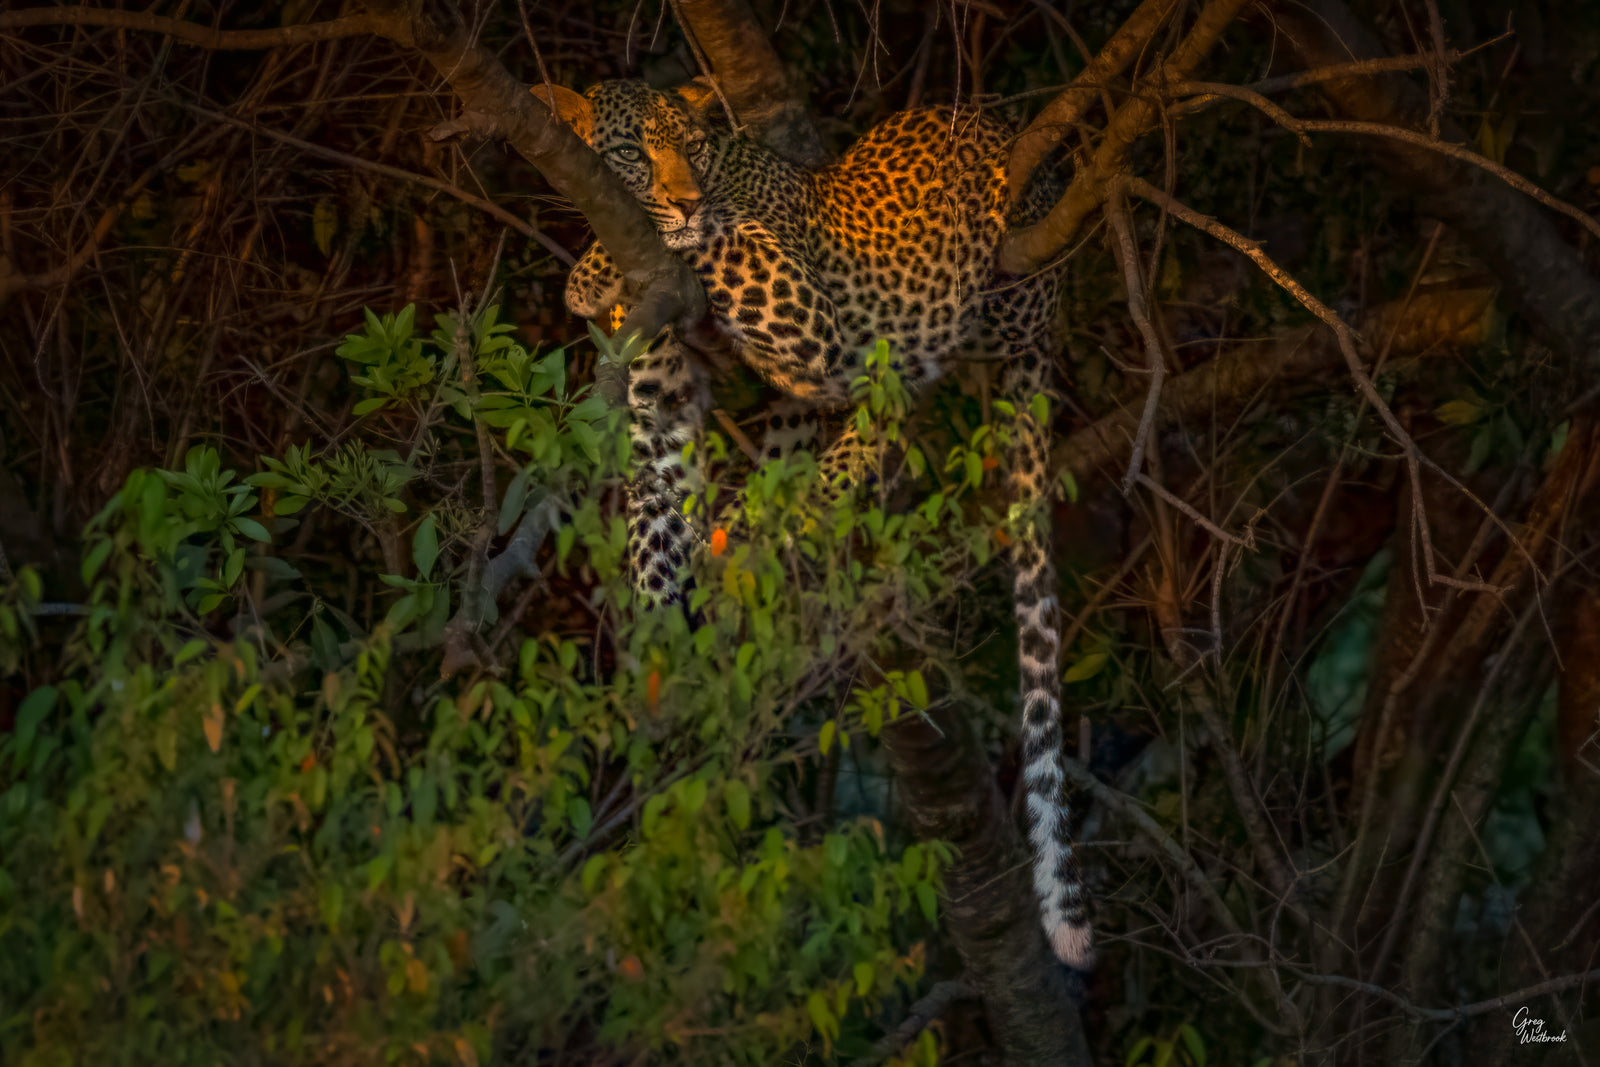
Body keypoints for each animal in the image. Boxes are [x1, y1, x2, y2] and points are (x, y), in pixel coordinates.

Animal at [536, 78, 1093, 969]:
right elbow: (653, 523)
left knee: (896, 390)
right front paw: (660, 661)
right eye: (628, 151)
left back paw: (787, 510)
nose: (683, 197)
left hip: (976, 304)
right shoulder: (661, 398)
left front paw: (596, 269)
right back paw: (753, 528)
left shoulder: (795, 305)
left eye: (692, 146)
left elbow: (716, 238)